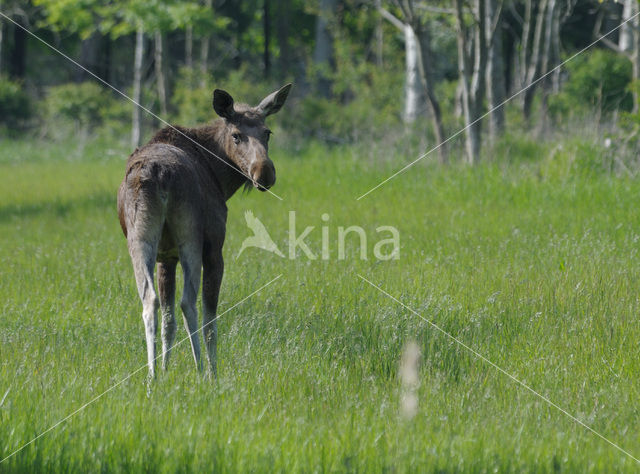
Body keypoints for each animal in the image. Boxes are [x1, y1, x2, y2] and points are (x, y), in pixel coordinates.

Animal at [117, 82, 292, 378]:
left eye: (267, 132)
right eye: (236, 135)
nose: (264, 173)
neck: (220, 174)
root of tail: (157, 174)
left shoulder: (166, 257)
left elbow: (168, 322)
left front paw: (165, 370)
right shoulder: (214, 249)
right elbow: (210, 317)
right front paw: (213, 372)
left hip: (140, 240)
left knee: (150, 300)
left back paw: (152, 377)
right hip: (191, 238)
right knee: (189, 302)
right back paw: (201, 371)